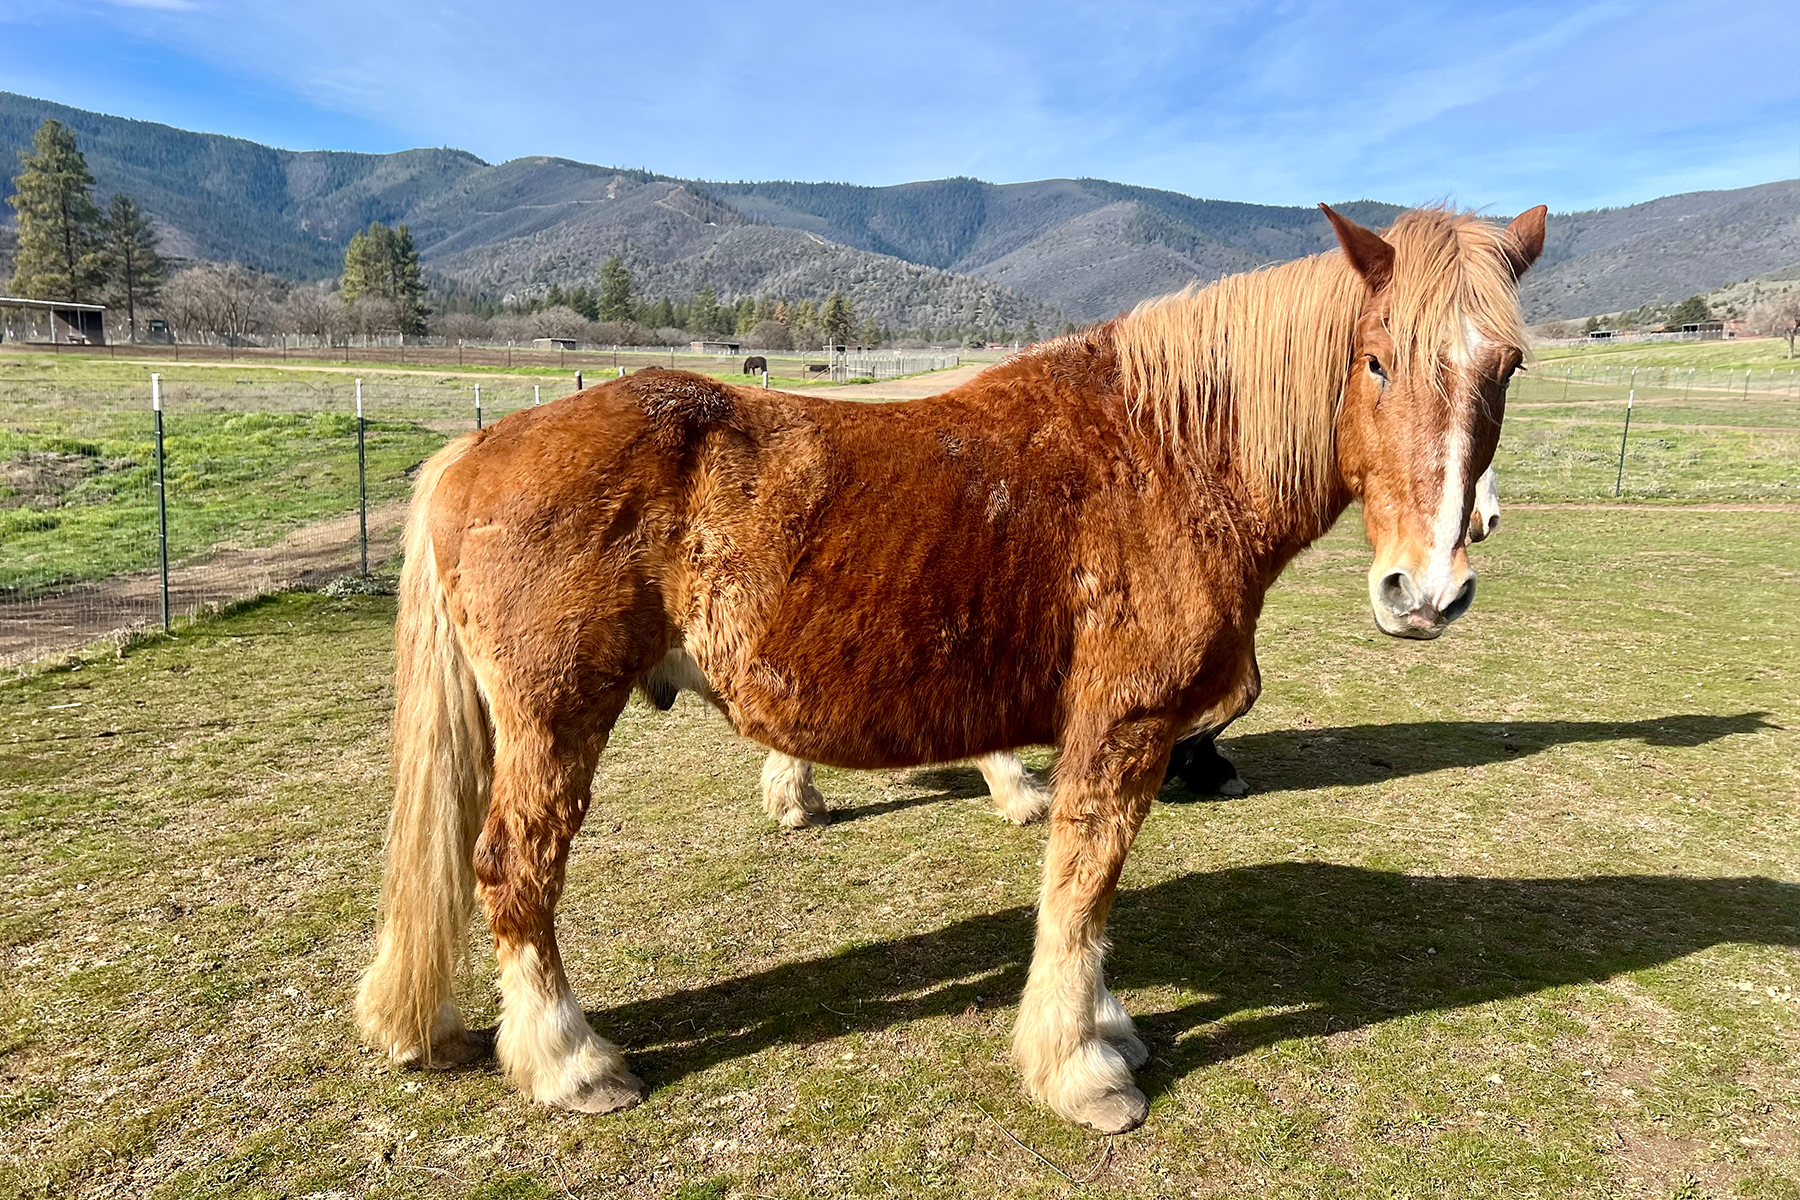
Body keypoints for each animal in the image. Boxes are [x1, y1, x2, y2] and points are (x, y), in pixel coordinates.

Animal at [355, 203, 1546, 1133]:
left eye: (1508, 367)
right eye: (1377, 359)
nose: (1429, 589)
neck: (1166, 452)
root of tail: (478, 447)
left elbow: (1090, 900)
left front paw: (1104, 1027)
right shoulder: (1122, 729)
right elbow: (1081, 890)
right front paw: (1081, 1071)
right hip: (557, 720)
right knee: (514, 869)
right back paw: (570, 1061)